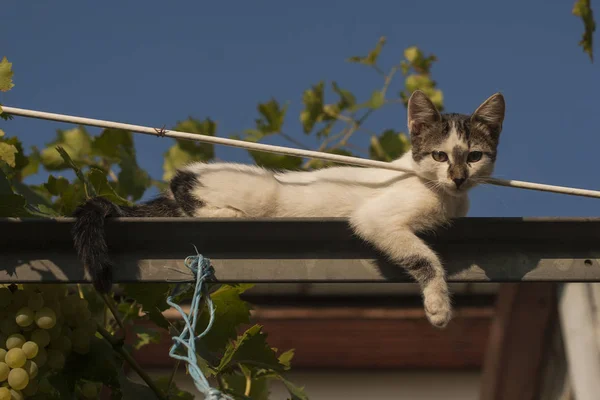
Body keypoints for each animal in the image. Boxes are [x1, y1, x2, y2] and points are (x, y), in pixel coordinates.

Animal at [71, 90, 506, 328]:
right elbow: (424, 257)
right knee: (191, 195)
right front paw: (438, 306)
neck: (441, 192)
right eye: (439, 155)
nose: (458, 177)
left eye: (474, 156)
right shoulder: (376, 218)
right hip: (256, 190)